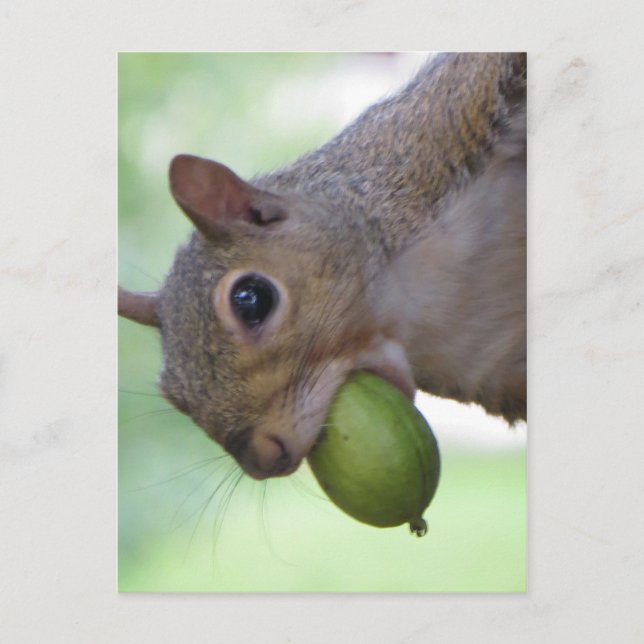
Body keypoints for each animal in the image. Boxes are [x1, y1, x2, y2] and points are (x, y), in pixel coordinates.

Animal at [119, 53, 527, 481]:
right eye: (173, 395)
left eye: (252, 299)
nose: (263, 461)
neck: (412, 309)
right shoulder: (492, 371)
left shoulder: (454, 119)